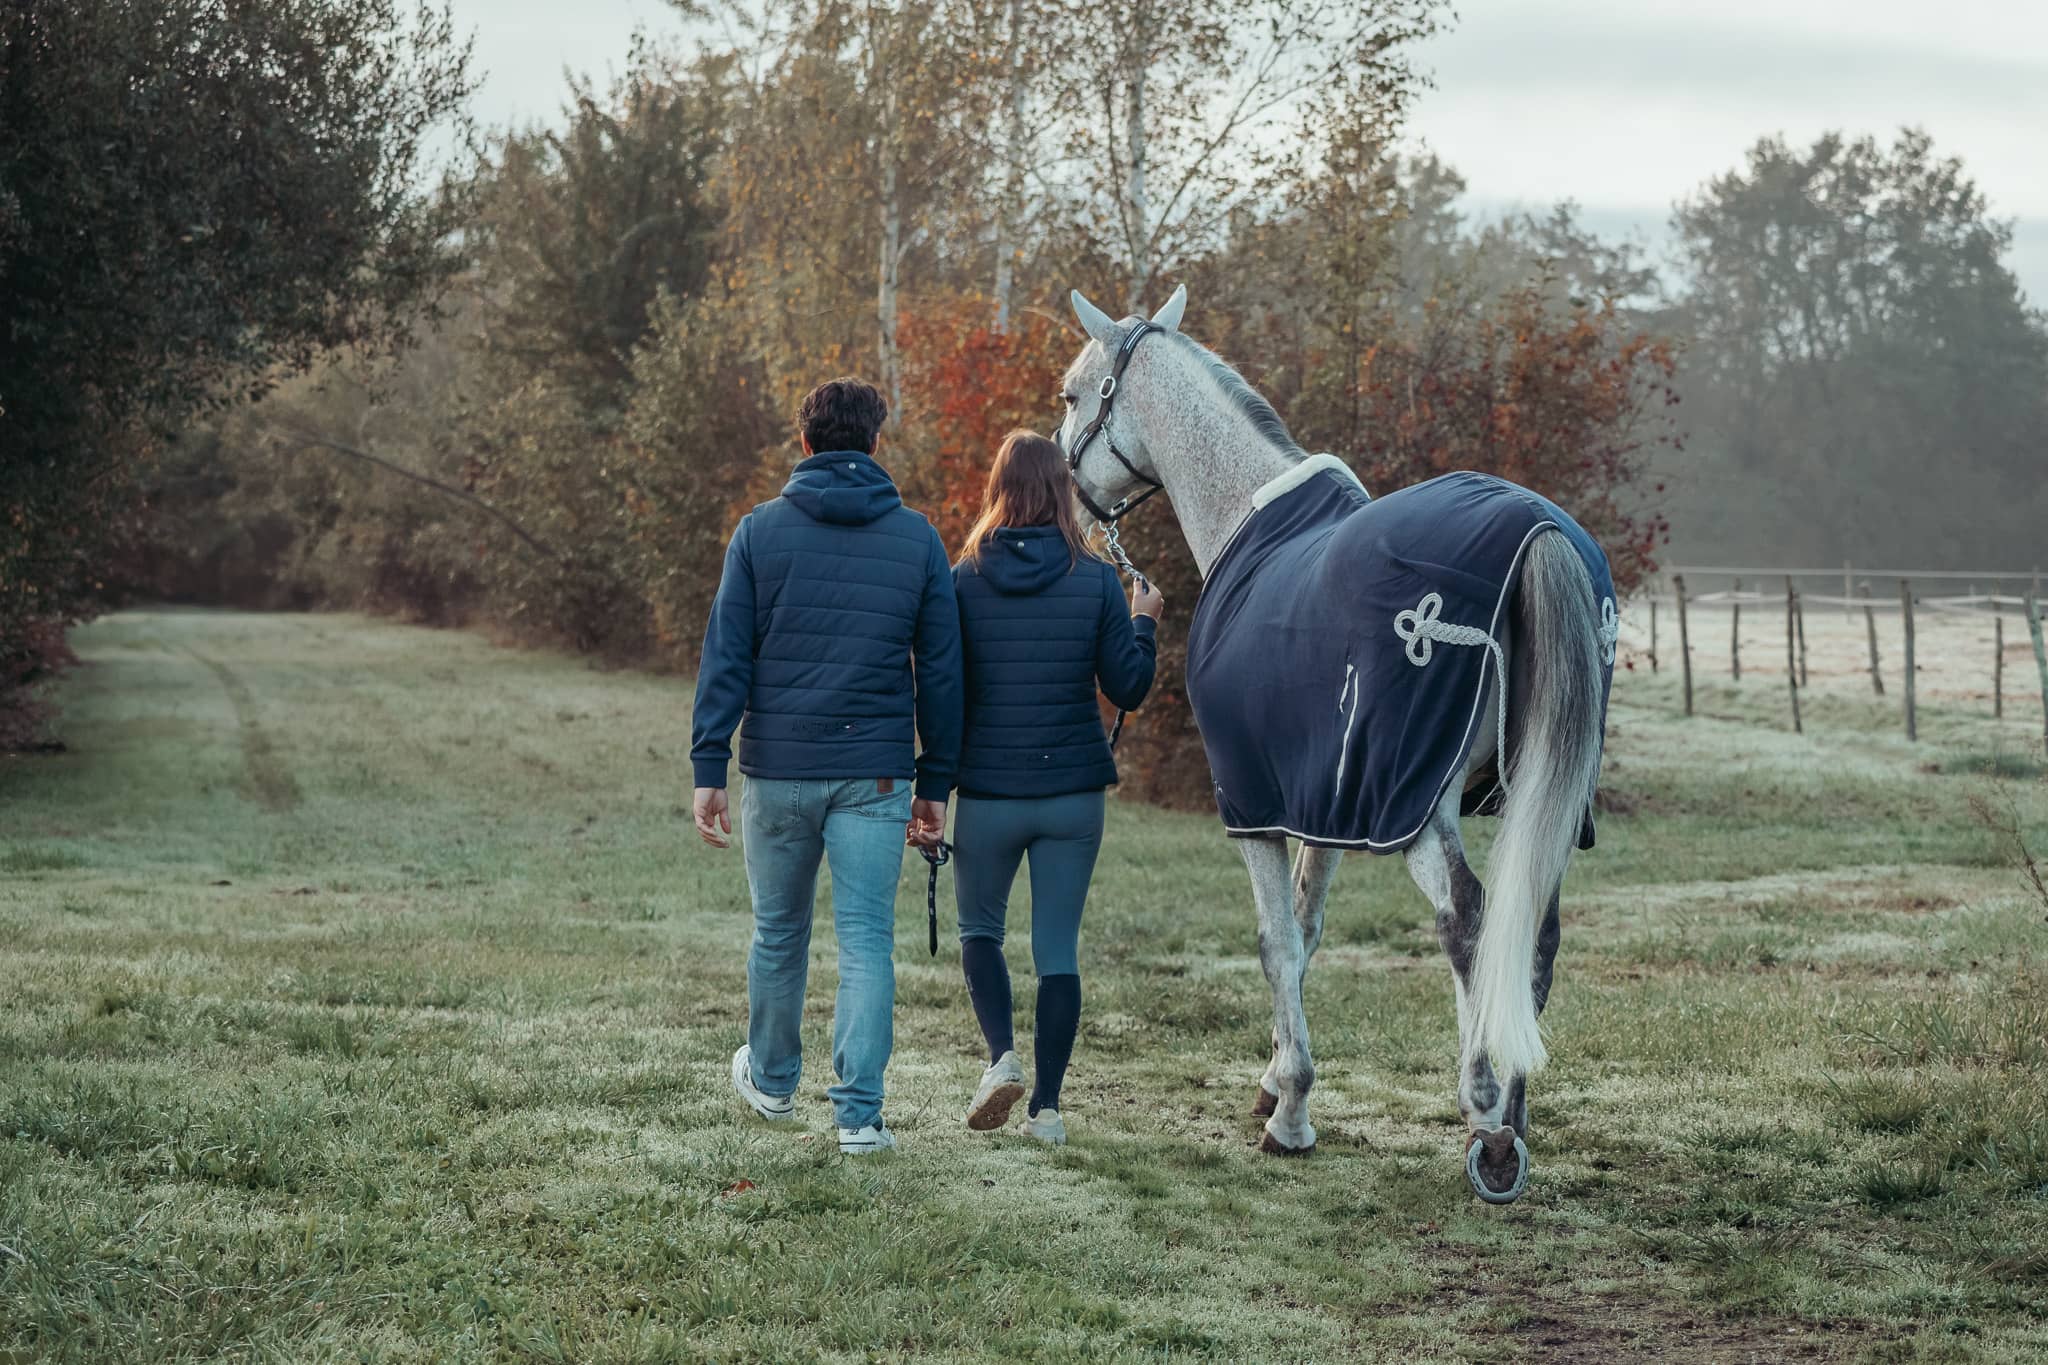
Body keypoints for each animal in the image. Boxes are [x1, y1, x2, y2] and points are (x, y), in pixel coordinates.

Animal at [1056, 282, 1613, 1203]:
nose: (1073, 498)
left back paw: (1488, 1122)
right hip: (1542, 799)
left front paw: (1292, 1113)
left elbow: (1276, 942)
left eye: (1073, 394)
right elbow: (1309, 929)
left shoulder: (1255, 805)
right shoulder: (1324, 800)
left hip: (1422, 806)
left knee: (1468, 920)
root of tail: (1540, 533)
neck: (1246, 511)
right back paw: (1518, 1107)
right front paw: (1273, 1078)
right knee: (1530, 935)